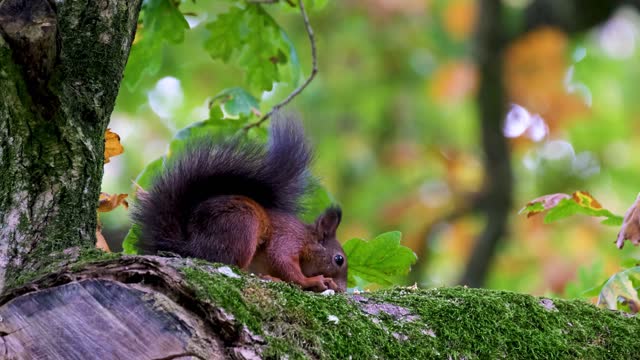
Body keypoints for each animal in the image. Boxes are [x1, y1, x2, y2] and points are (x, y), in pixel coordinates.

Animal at [132, 114, 348, 292]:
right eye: (339, 259)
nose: (343, 289)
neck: (308, 239)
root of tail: (191, 246)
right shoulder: (289, 238)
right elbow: (282, 260)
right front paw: (313, 281)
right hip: (244, 225)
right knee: (235, 266)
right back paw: (266, 277)